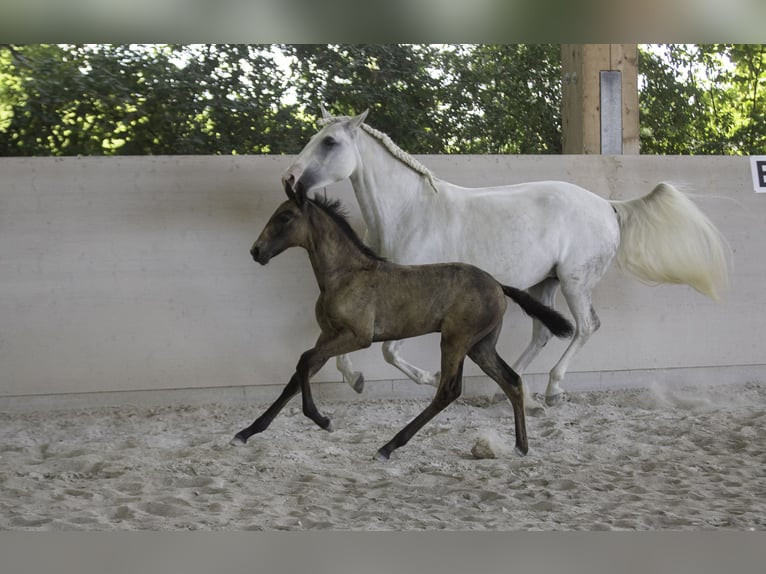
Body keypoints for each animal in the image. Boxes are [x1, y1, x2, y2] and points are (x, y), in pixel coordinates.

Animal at [234, 184, 576, 464]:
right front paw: (247, 432)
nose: (255, 251)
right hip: (480, 346)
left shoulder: (356, 336)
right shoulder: (327, 335)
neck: (345, 275)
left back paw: (388, 446)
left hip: (455, 340)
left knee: (449, 390)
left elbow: (303, 361)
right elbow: (297, 375)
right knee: (511, 381)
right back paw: (521, 446)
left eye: (285, 216)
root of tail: (498, 285)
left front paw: (322, 420)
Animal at [284, 107, 732, 404]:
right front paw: (356, 379)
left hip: (574, 281)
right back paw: (512, 393)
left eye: (329, 141)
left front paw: (429, 378)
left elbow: (389, 351)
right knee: (545, 333)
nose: (289, 178)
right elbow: (351, 349)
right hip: (544, 283)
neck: (411, 211)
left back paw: (552, 390)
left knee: (585, 327)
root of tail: (608, 206)